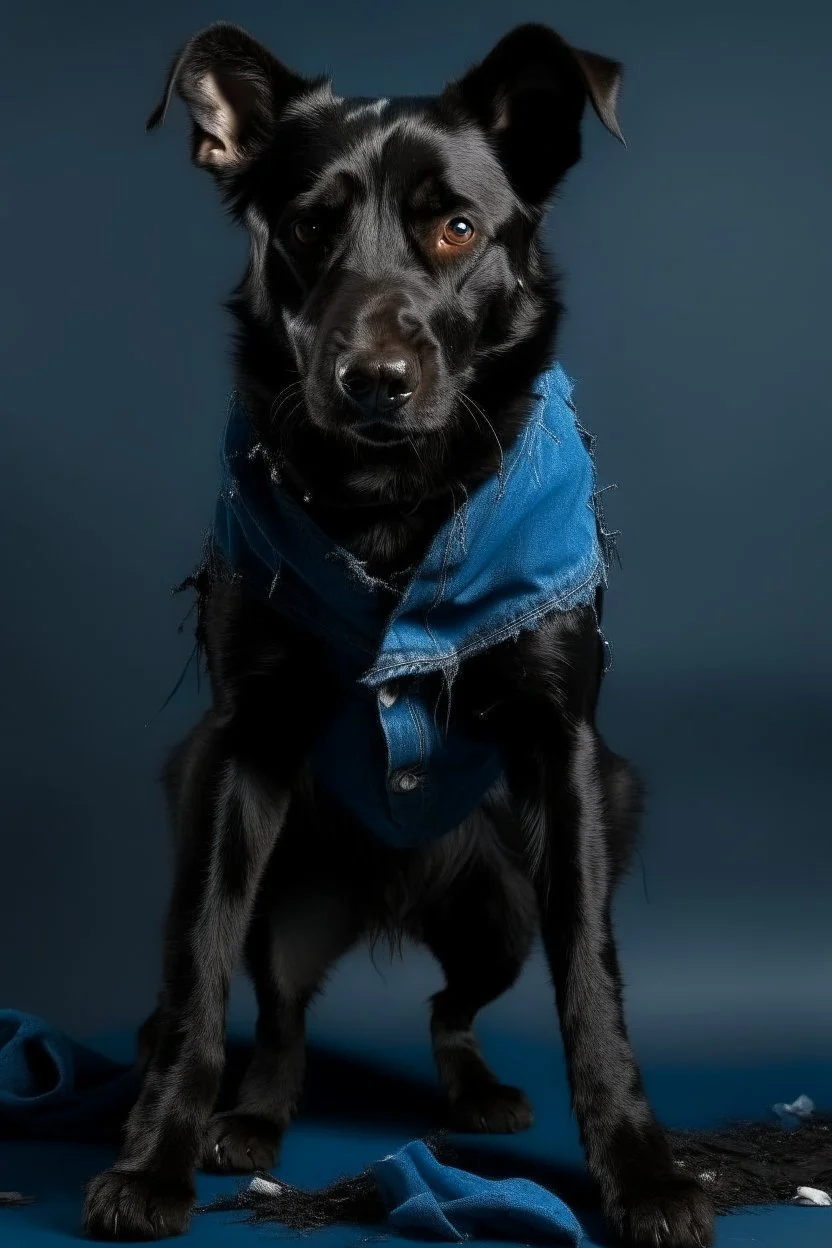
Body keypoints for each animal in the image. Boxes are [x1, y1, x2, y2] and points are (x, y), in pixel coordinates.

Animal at [82, 21, 718, 1248]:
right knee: (277, 1010)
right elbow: (198, 978)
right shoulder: (242, 747)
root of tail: (392, 893)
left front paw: (637, 1167)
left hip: (515, 896)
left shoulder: (565, 756)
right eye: (306, 228)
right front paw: (158, 1154)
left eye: (455, 227)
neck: (388, 504)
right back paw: (250, 1117)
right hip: (258, 862)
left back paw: (473, 1089)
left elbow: (592, 980)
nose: (367, 380)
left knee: (447, 1006)